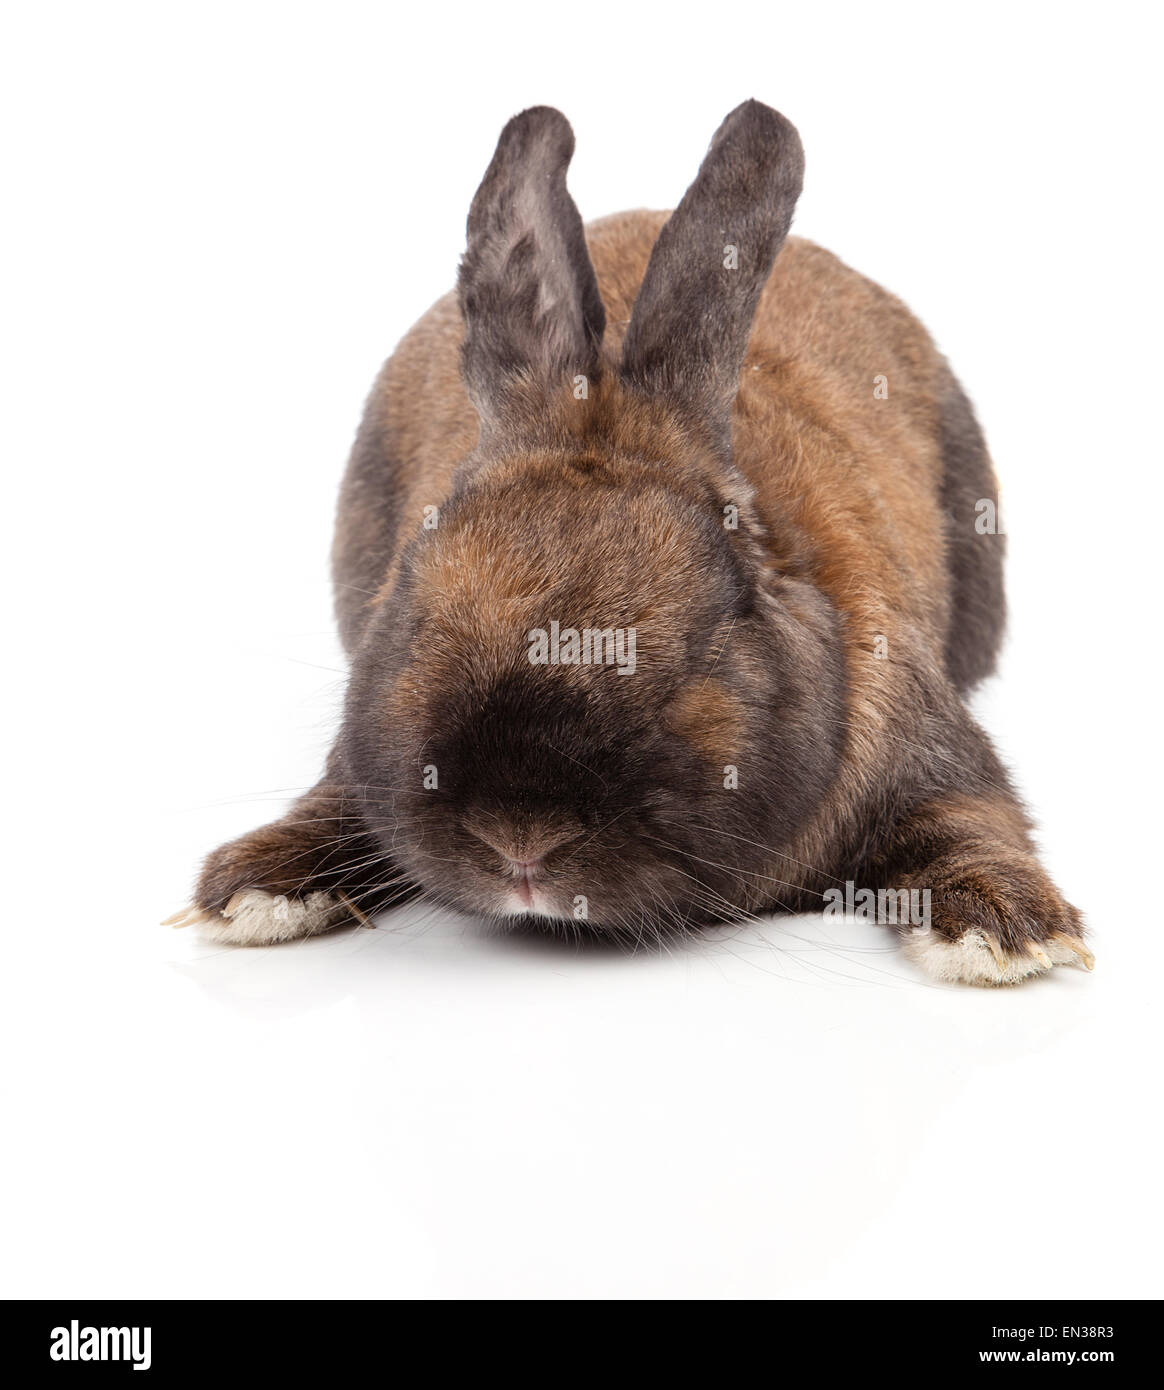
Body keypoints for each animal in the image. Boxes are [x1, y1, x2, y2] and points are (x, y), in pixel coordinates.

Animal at [170, 100, 1091, 986]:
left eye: (709, 636)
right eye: (414, 609)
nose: (520, 838)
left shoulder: (935, 751)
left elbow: (970, 824)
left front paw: (1005, 932)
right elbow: (332, 805)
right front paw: (256, 888)